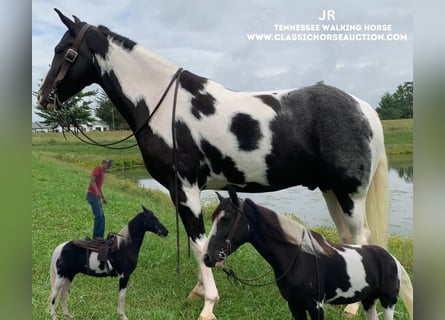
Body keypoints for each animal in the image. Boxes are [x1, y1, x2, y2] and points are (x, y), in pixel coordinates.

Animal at [39, 8, 388, 318]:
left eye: (62, 50)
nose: (43, 97)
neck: (162, 107)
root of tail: (364, 109)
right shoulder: (181, 191)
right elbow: (199, 243)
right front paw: (198, 291)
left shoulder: (186, 188)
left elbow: (198, 242)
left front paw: (208, 304)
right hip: (331, 191)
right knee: (346, 239)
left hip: (349, 194)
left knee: (360, 237)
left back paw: (352, 307)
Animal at [203, 189, 412, 318]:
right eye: (213, 218)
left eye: (226, 219)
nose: (208, 257)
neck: (299, 259)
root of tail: (391, 259)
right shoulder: (294, 304)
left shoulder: (316, 306)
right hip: (369, 300)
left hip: (388, 302)